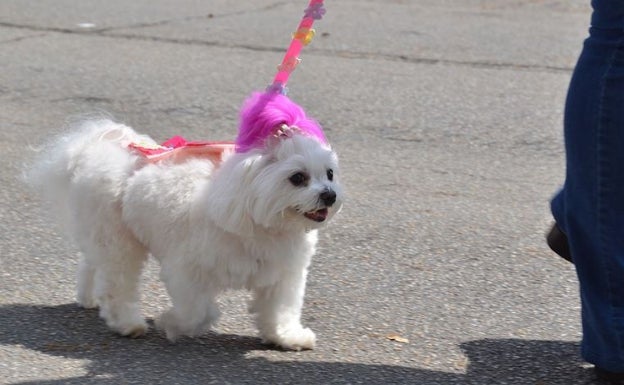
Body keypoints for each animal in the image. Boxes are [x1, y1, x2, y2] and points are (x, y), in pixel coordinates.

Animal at [28, 91, 342, 350]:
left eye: (329, 174)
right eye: (297, 178)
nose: (329, 195)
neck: (262, 223)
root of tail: (105, 149)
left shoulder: (282, 276)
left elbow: (280, 310)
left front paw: (286, 337)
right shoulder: (186, 271)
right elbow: (198, 312)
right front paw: (171, 322)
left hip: (104, 235)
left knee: (92, 264)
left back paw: (89, 297)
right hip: (119, 242)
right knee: (117, 282)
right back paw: (127, 323)